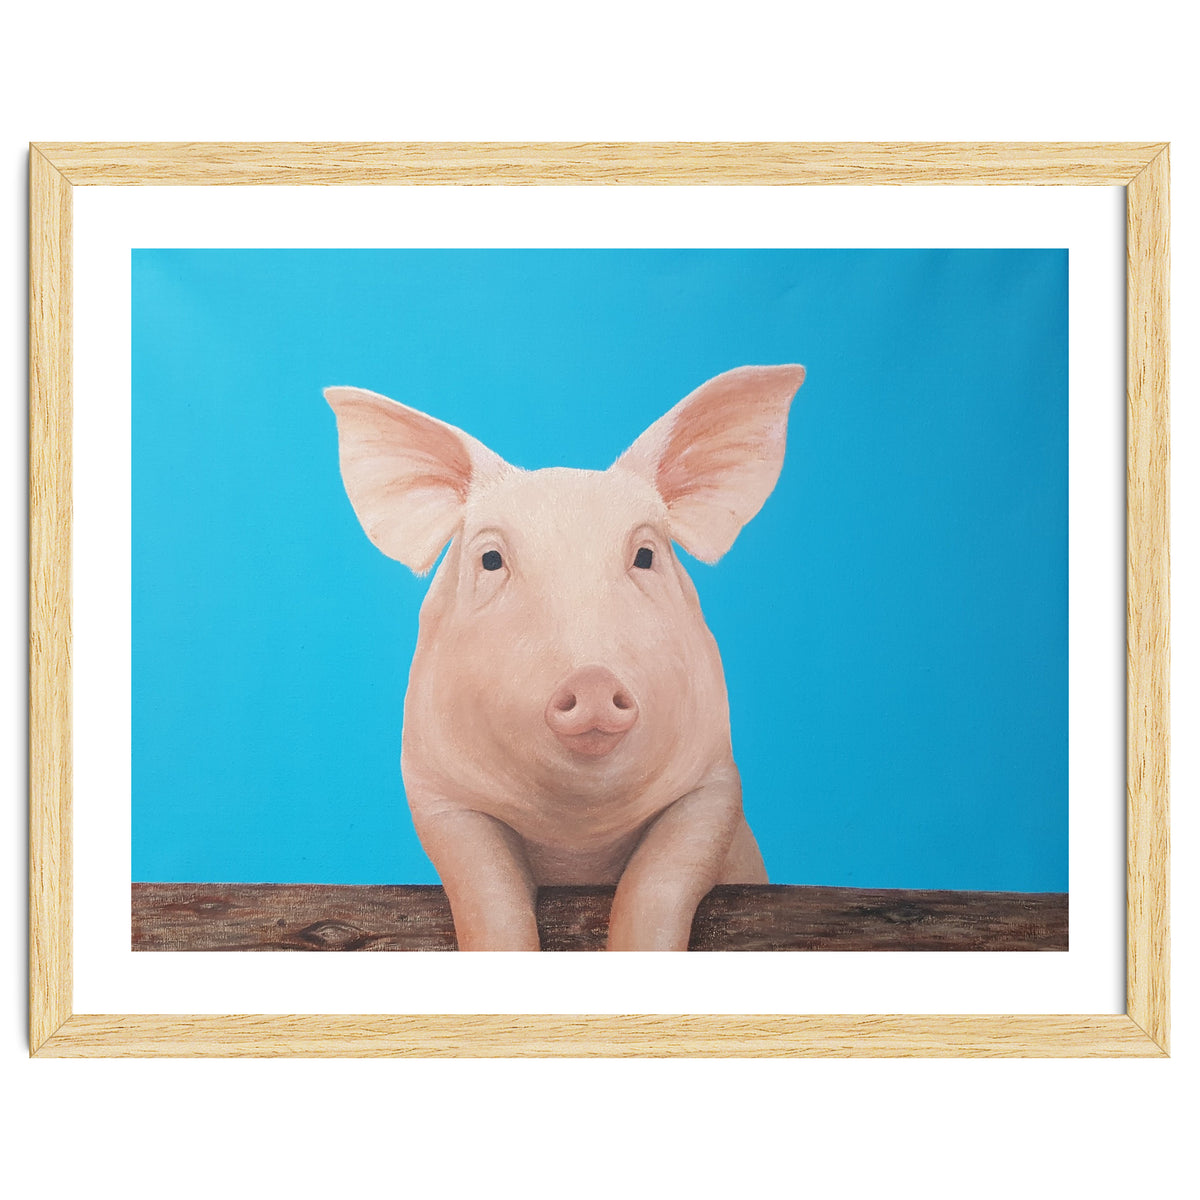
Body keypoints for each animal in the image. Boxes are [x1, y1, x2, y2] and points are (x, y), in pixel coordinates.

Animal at [326, 364, 805, 951]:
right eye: (491, 559)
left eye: (645, 555)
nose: (593, 679)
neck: (577, 835)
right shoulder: (437, 793)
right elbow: (487, 891)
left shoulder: (714, 783)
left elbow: (659, 880)